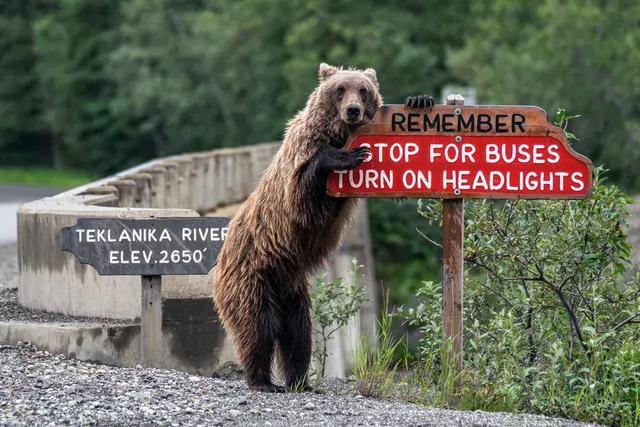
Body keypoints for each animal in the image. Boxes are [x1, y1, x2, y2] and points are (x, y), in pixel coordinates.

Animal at [215, 61, 382, 392]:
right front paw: (347, 156)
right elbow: (303, 196)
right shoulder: (297, 165)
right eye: (340, 89)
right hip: (252, 276)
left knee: (298, 334)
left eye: (363, 89)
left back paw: (300, 380)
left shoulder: (341, 204)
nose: (353, 110)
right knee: (258, 327)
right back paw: (262, 380)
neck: (334, 133)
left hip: (292, 291)